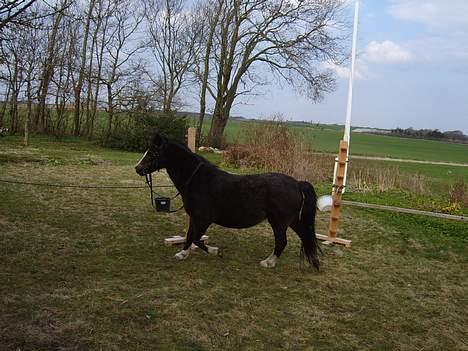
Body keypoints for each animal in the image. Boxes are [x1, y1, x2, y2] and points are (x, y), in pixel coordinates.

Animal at [133, 132, 320, 270]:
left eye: (153, 152)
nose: (138, 168)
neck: (197, 180)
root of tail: (297, 183)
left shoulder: (203, 219)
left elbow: (196, 238)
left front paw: (216, 251)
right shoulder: (195, 218)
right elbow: (189, 236)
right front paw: (183, 254)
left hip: (279, 222)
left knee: (282, 241)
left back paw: (269, 262)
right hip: (293, 221)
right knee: (305, 236)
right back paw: (311, 261)